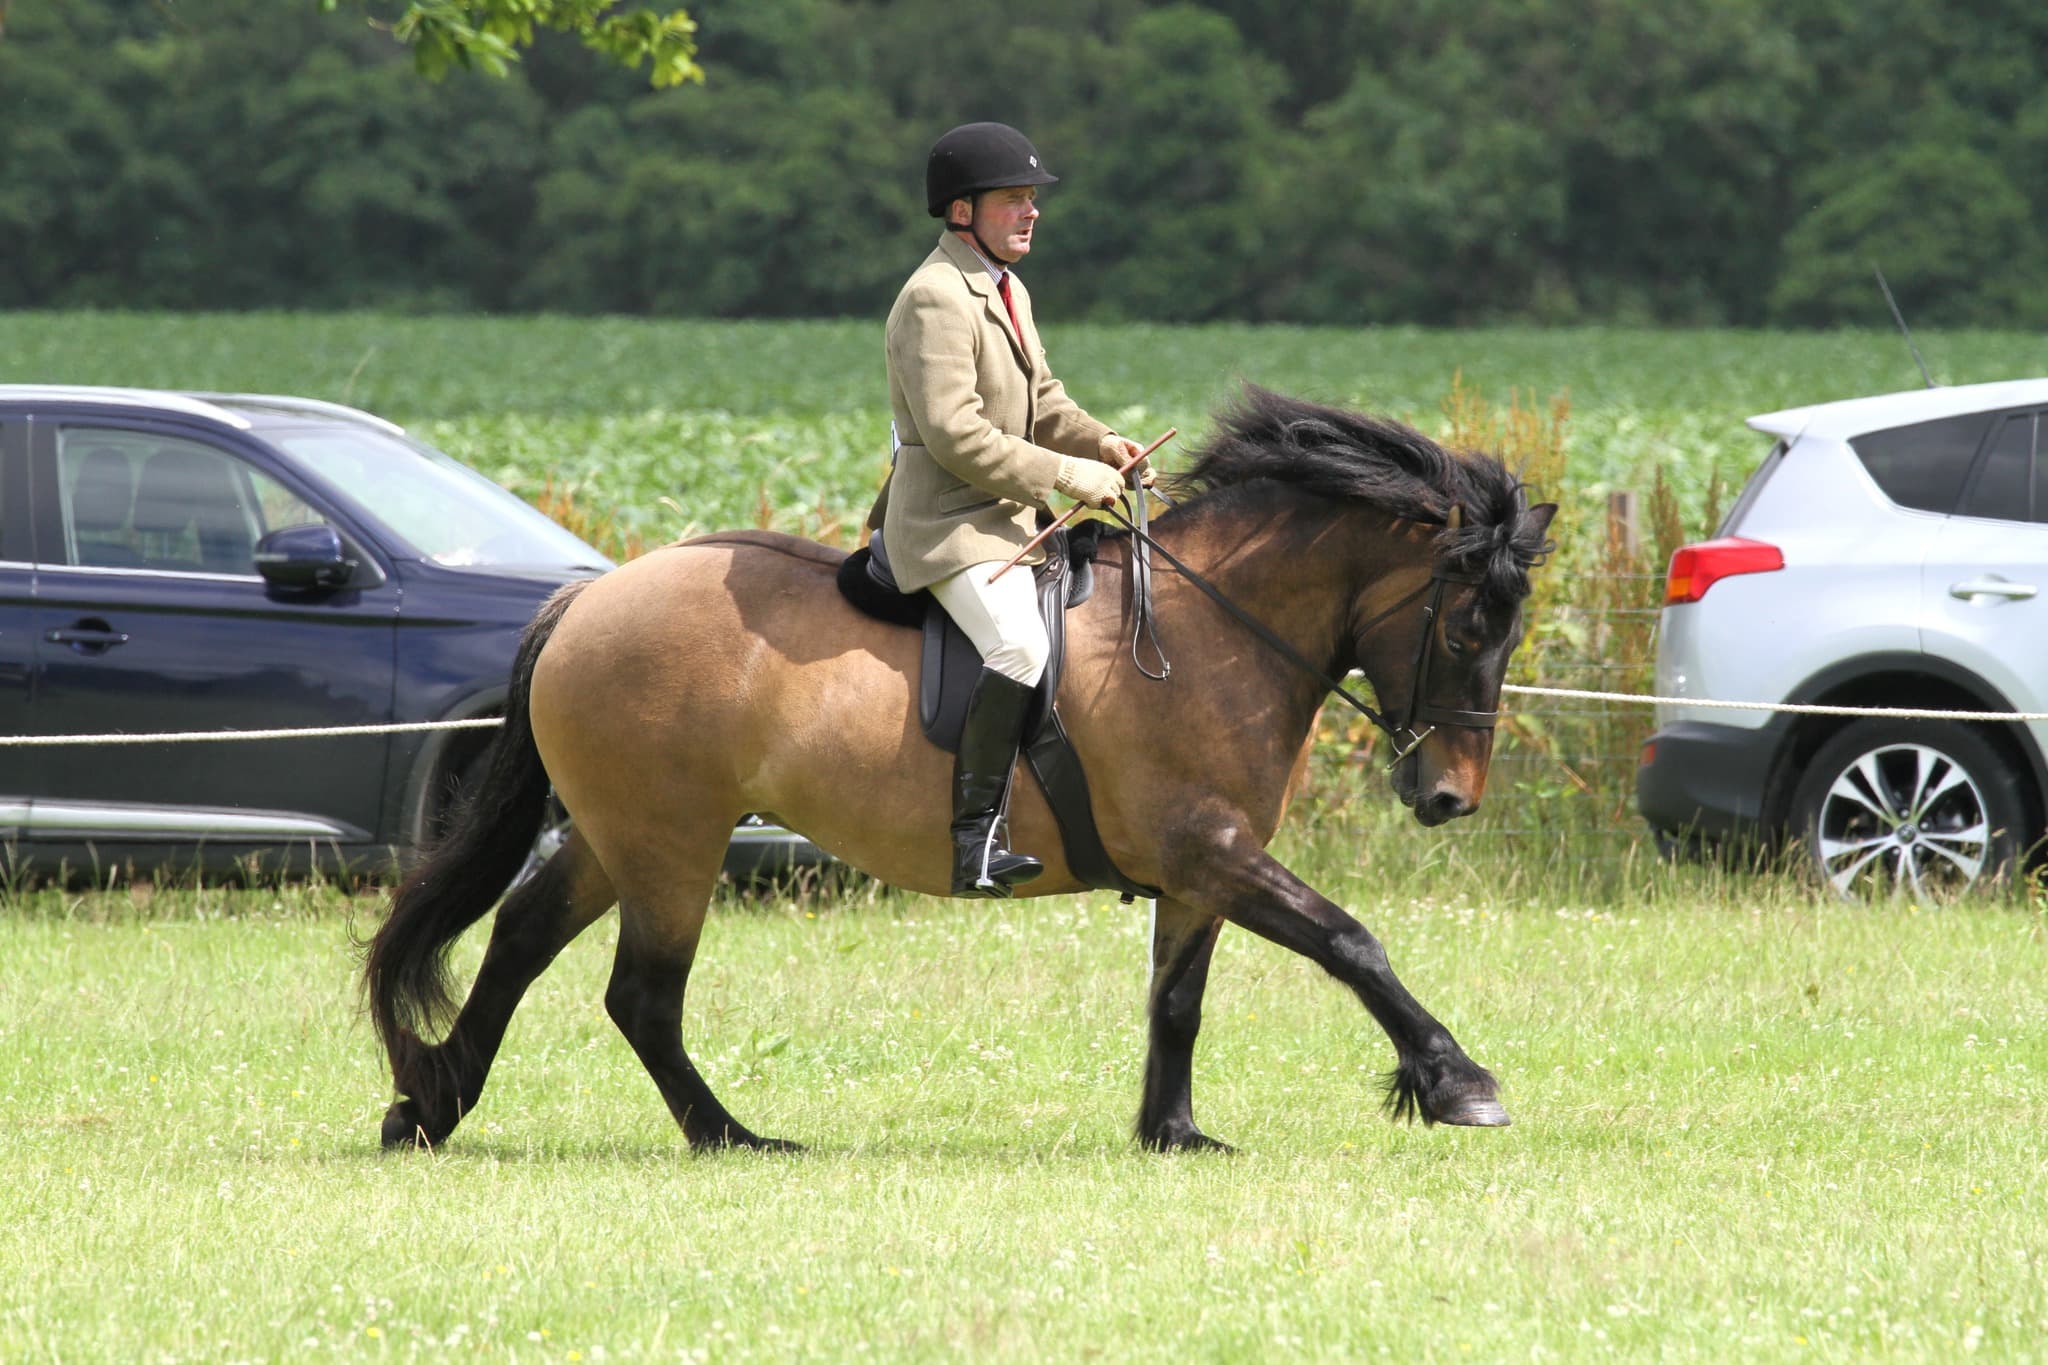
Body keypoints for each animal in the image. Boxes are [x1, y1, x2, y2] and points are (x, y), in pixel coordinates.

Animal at [363, 386, 1557, 1153]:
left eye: (1507, 630)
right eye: (1467, 625)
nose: (1448, 798)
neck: (1208, 631)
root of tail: (586, 598)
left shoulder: (1200, 868)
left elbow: (1178, 1000)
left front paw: (1172, 1131)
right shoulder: (1209, 849)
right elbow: (1350, 941)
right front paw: (1458, 1083)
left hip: (621, 835)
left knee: (523, 937)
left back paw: (431, 1103)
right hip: (671, 843)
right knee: (642, 995)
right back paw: (731, 1136)